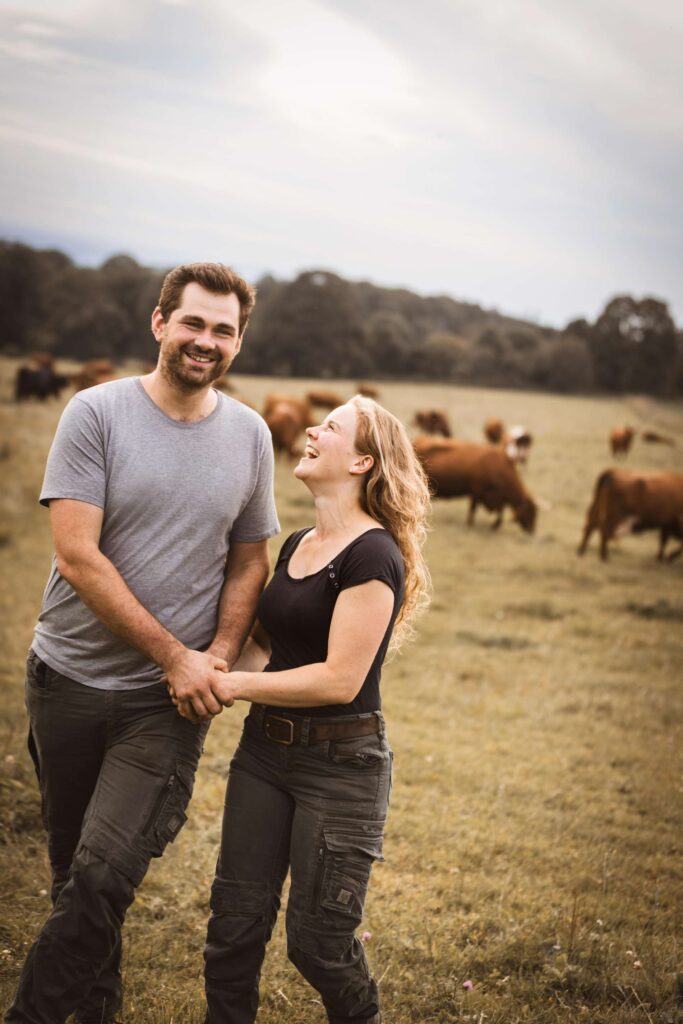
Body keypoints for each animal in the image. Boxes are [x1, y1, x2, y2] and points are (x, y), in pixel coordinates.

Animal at [411, 438, 540, 532]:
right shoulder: (478, 491)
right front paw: (472, 524)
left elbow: (499, 511)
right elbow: (473, 509)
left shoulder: (496, 497)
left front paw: (494, 525)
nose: (532, 530)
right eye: (530, 511)